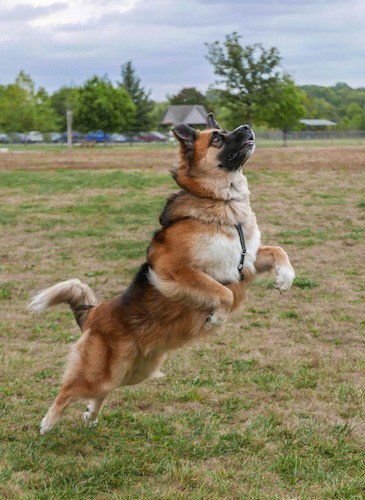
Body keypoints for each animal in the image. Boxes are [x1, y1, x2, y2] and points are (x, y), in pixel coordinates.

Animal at [29, 113, 294, 434]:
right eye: (217, 138)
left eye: (226, 129)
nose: (246, 127)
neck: (222, 203)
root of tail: (95, 313)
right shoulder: (174, 269)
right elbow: (223, 293)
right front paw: (215, 318)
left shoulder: (249, 261)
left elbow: (279, 251)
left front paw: (285, 279)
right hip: (99, 372)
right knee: (68, 390)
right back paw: (47, 423)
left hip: (134, 372)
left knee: (102, 392)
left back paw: (90, 415)